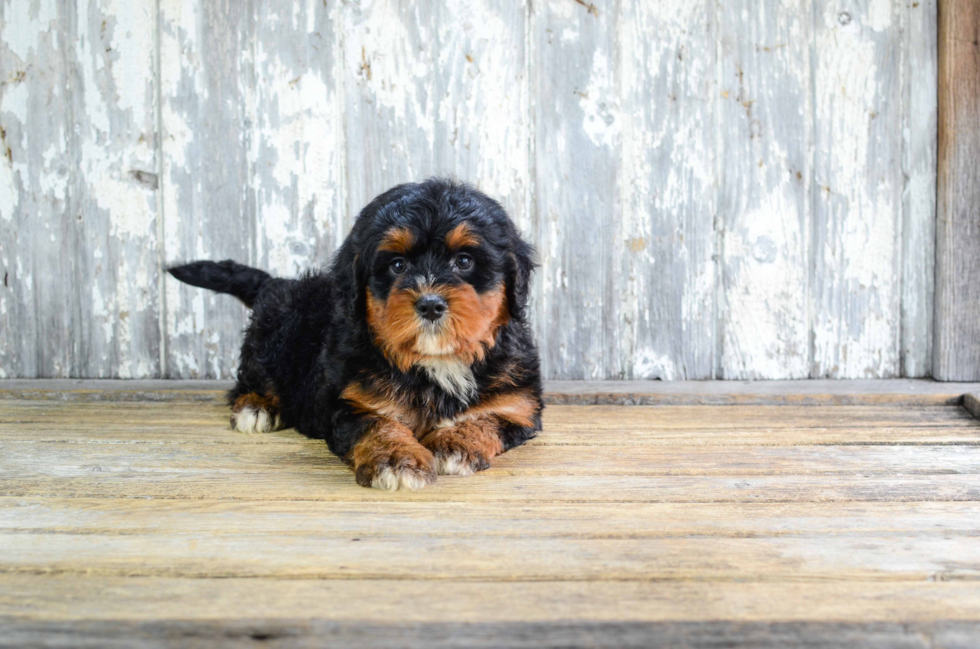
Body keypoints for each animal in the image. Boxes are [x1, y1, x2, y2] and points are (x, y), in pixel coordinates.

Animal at [168, 180, 544, 488]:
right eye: (397, 265)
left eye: (464, 261)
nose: (430, 304)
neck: (436, 361)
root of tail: (280, 284)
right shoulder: (351, 402)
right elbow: (378, 426)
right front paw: (395, 460)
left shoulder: (517, 404)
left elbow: (486, 418)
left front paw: (454, 443)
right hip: (271, 339)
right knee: (253, 377)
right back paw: (256, 407)